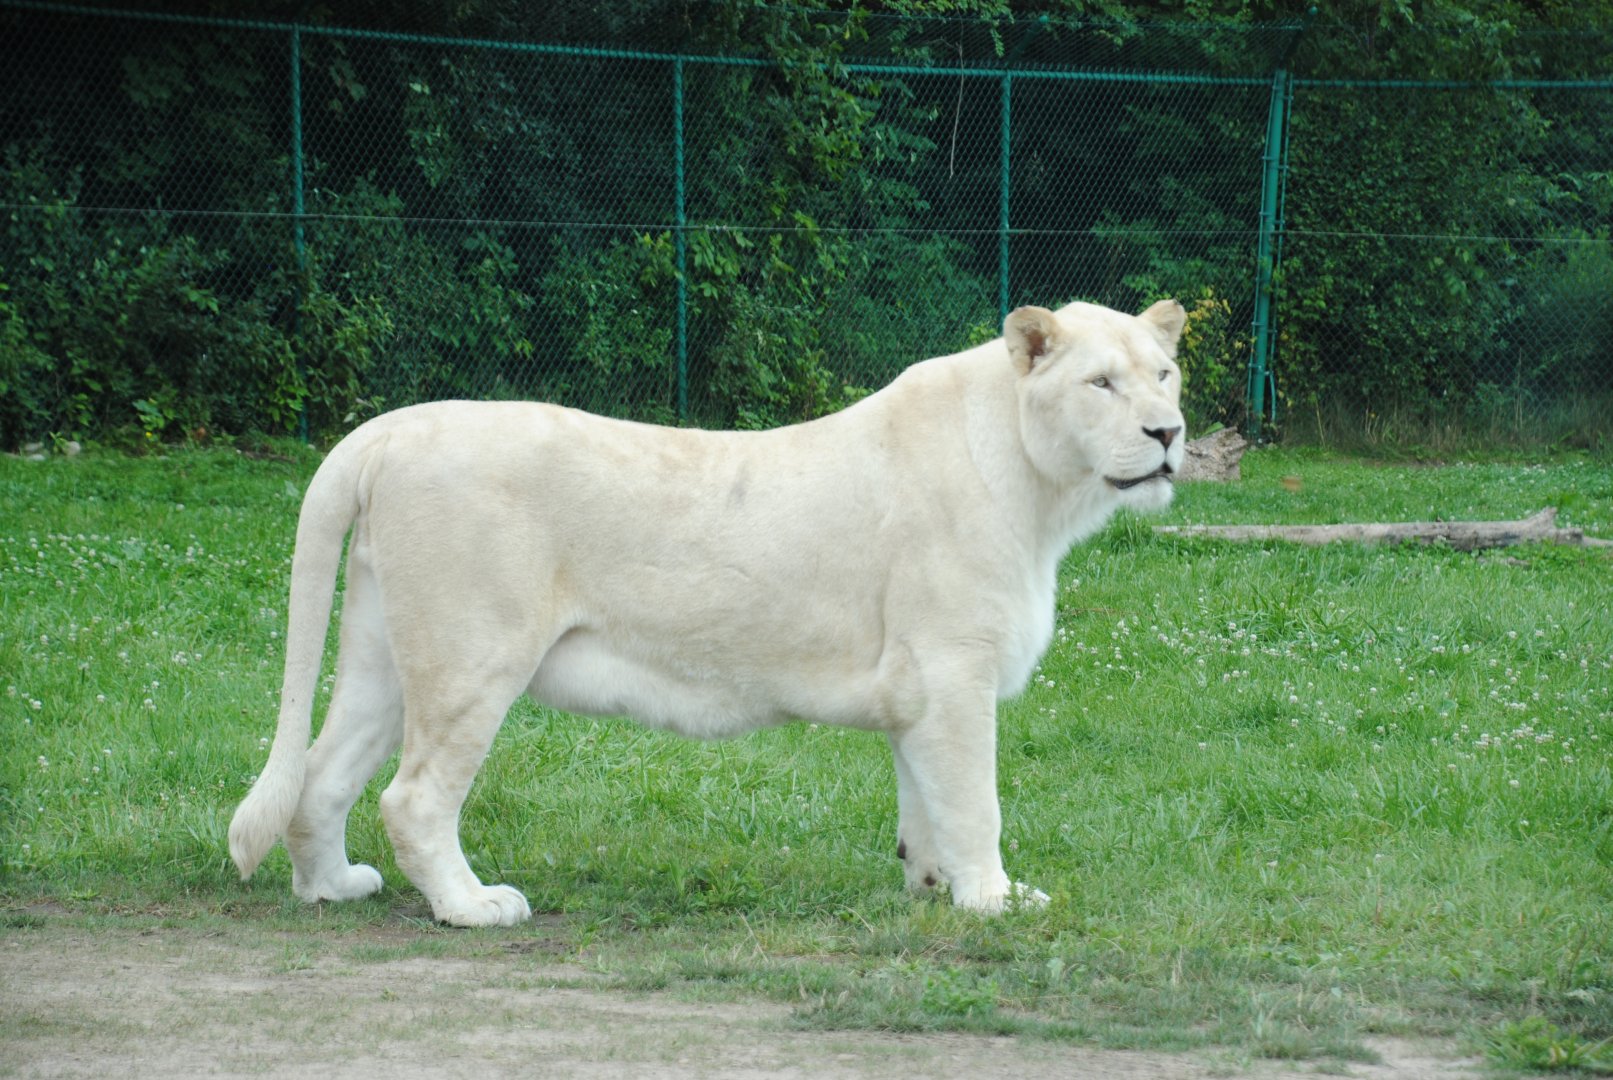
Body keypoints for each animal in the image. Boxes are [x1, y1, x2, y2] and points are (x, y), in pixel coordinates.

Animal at [228, 299, 1187, 926]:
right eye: (1101, 384)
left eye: (1164, 375)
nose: (1169, 435)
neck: (1045, 494)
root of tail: (384, 429)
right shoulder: (955, 670)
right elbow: (974, 801)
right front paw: (993, 901)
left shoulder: (918, 690)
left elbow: (925, 802)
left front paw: (930, 889)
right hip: (473, 657)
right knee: (415, 797)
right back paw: (472, 906)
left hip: (384, 655)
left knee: (319, 775)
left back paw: (332, 887)